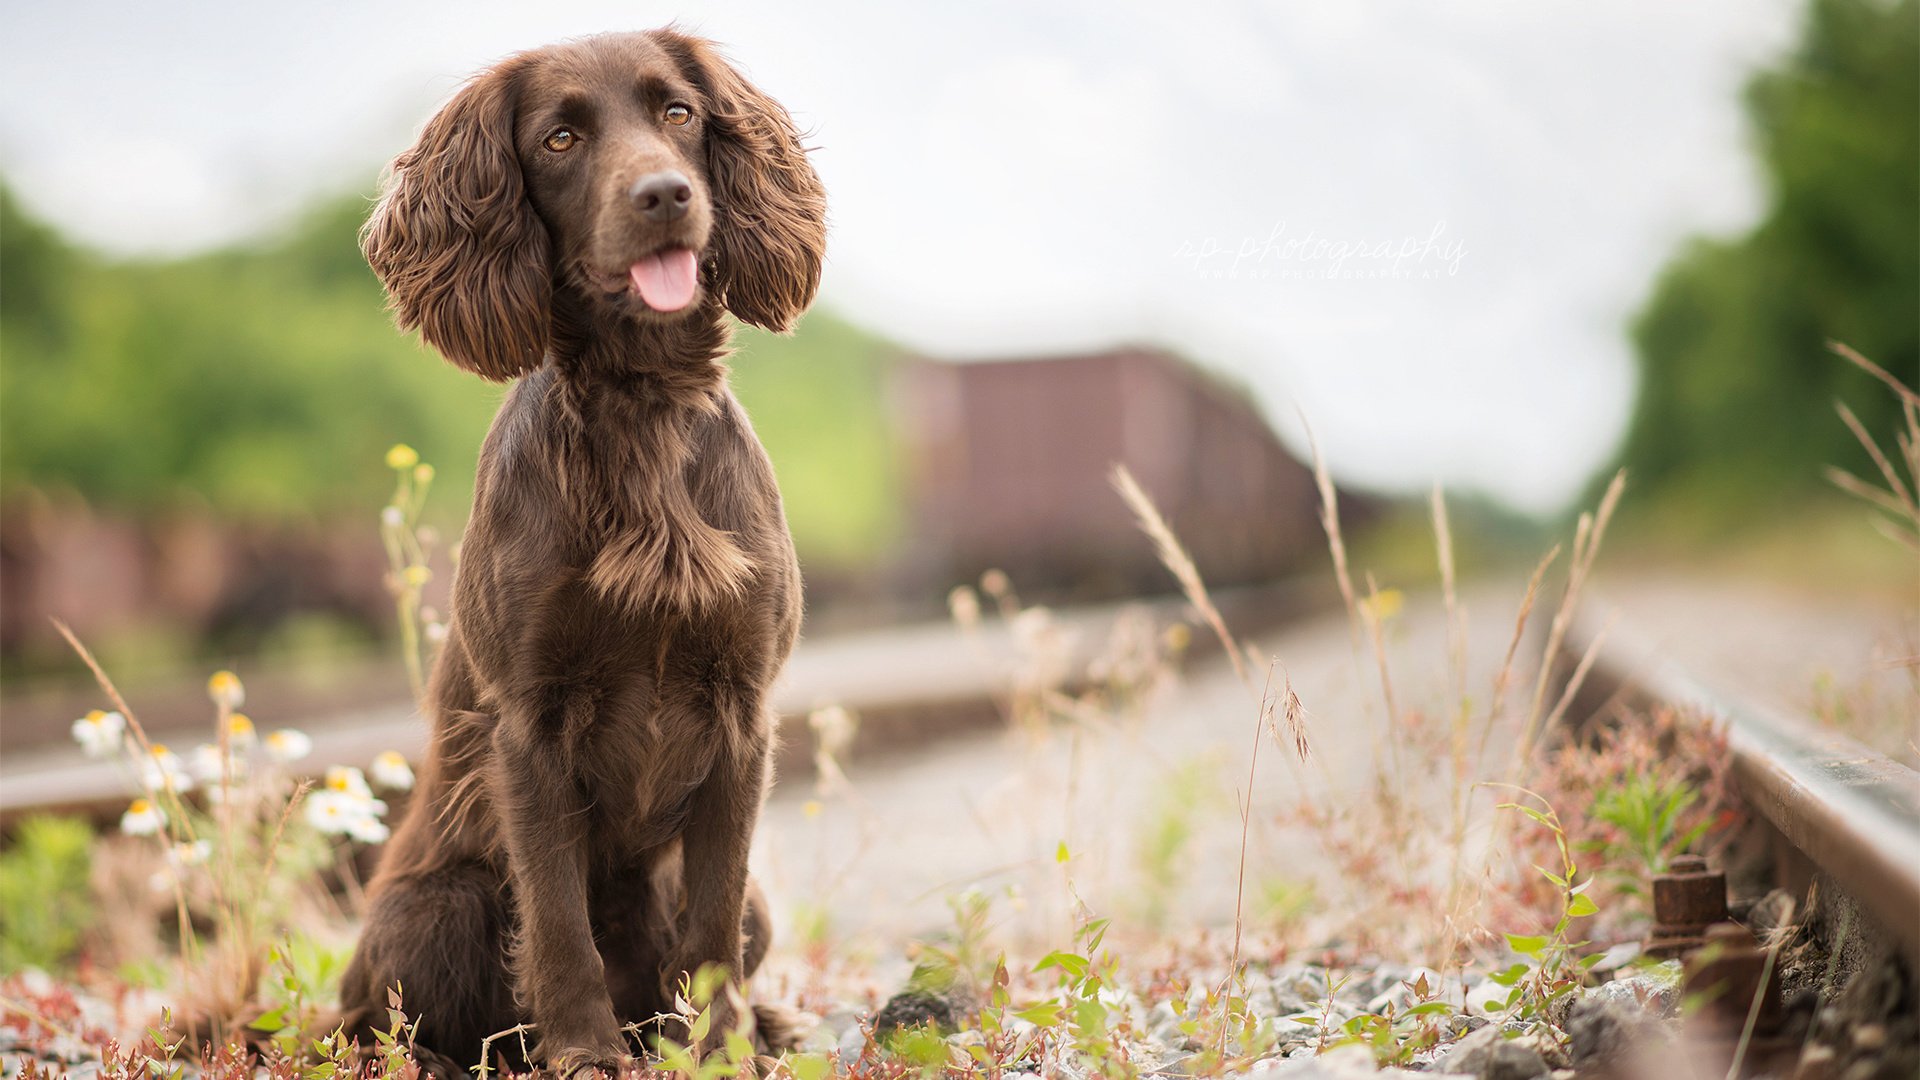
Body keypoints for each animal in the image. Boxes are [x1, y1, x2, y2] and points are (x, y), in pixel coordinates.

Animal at [339, 29, 825, 1068]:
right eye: (559, 138)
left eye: (679, 112)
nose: (665, 196)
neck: (640, 402)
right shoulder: (531, 724)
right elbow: (558, 916)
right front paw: (584, 1051)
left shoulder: (741, 712)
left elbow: (712, 921)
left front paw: (720, 1047)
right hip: (434, 906)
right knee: (368, 1017)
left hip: (758, 900)